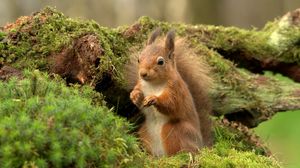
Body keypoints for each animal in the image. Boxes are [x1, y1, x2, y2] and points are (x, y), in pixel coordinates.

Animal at [127, 28, 212, 156]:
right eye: (138, 59)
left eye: (161, 62)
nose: (143, 73)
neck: (154, 84)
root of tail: (200, 144)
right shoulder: (141, 84)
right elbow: (137, 92)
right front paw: (134, 95)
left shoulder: (176, 90)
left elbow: (171, 104)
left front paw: (154, 99)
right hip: (144, 132)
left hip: (174, 131)